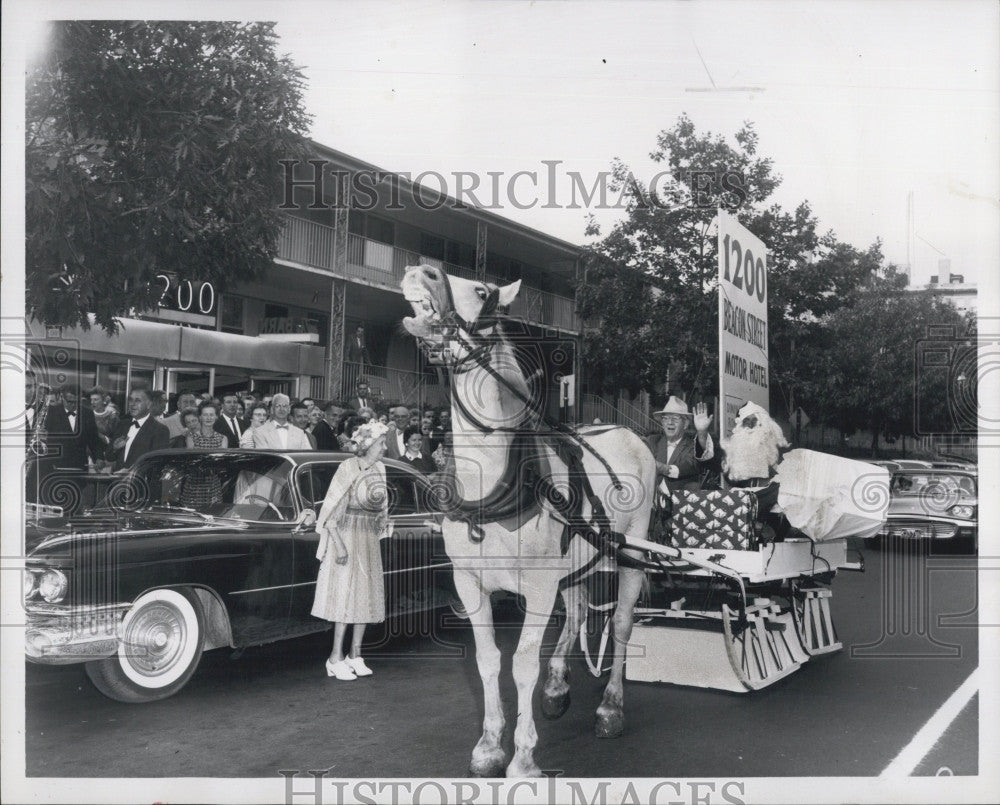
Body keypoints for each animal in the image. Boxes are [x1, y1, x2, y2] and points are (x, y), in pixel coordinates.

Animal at [400, 266, 656, 780]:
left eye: (482, 291)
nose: (422, 271)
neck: (492, 486)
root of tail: (627, 431)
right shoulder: (469, 581)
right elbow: (486, 660)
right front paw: (488, 746)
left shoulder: (538, 587)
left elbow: (520, 664)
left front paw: (522, 757)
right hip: (576, 558)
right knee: (577, 612)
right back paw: (558, 686)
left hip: (631, 552)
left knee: (620, 624)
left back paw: (611, 708)